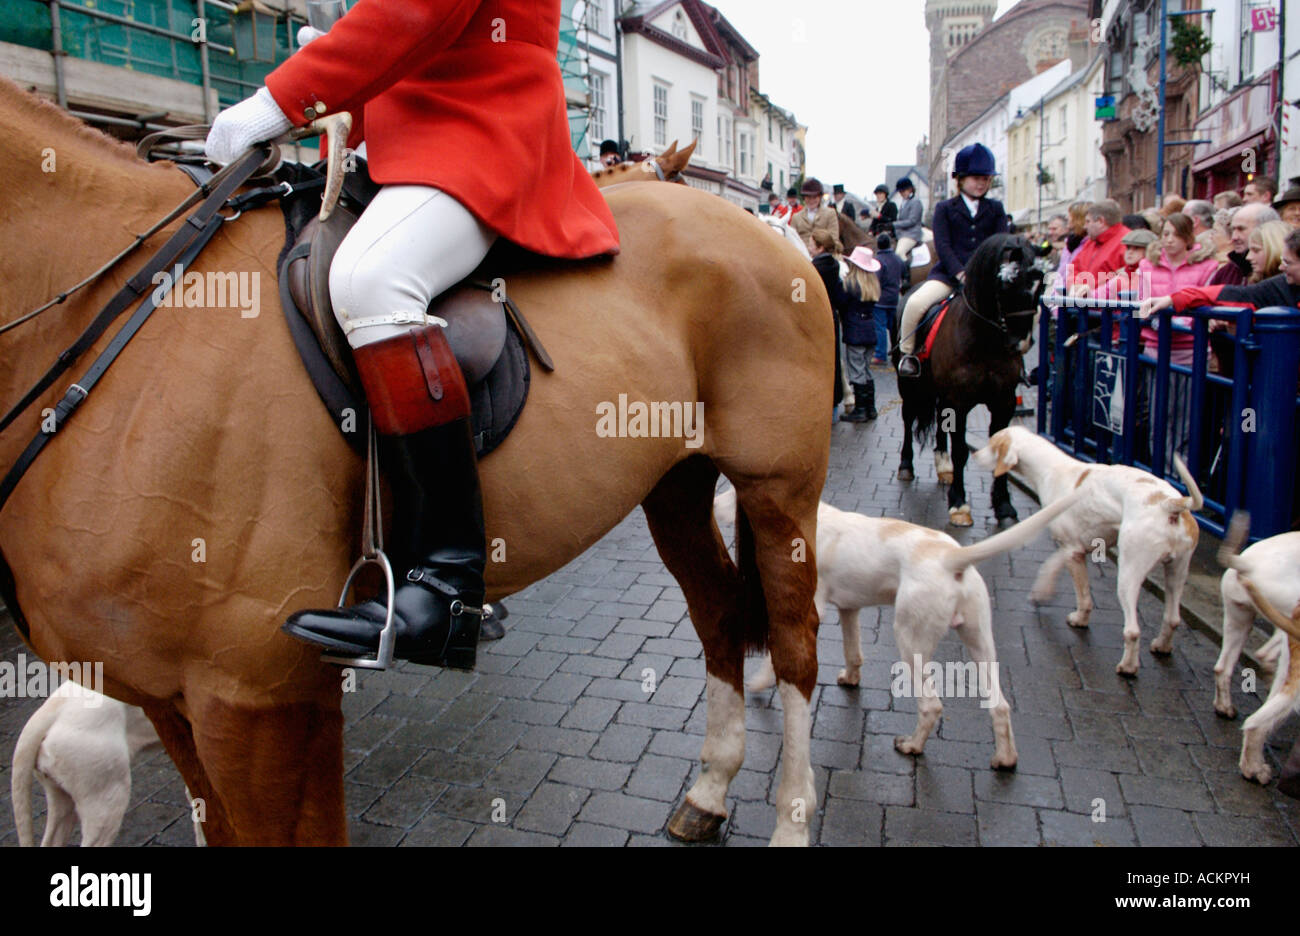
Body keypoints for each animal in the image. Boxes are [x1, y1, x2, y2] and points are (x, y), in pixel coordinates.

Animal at [0, 82, 826, 847]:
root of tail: (769, 239)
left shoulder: (256, 696)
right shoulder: (171, 698)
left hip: (780, 490)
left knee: (794, 643)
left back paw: (789, 818)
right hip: (674, 487)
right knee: (719, 614)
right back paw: (708, 794)